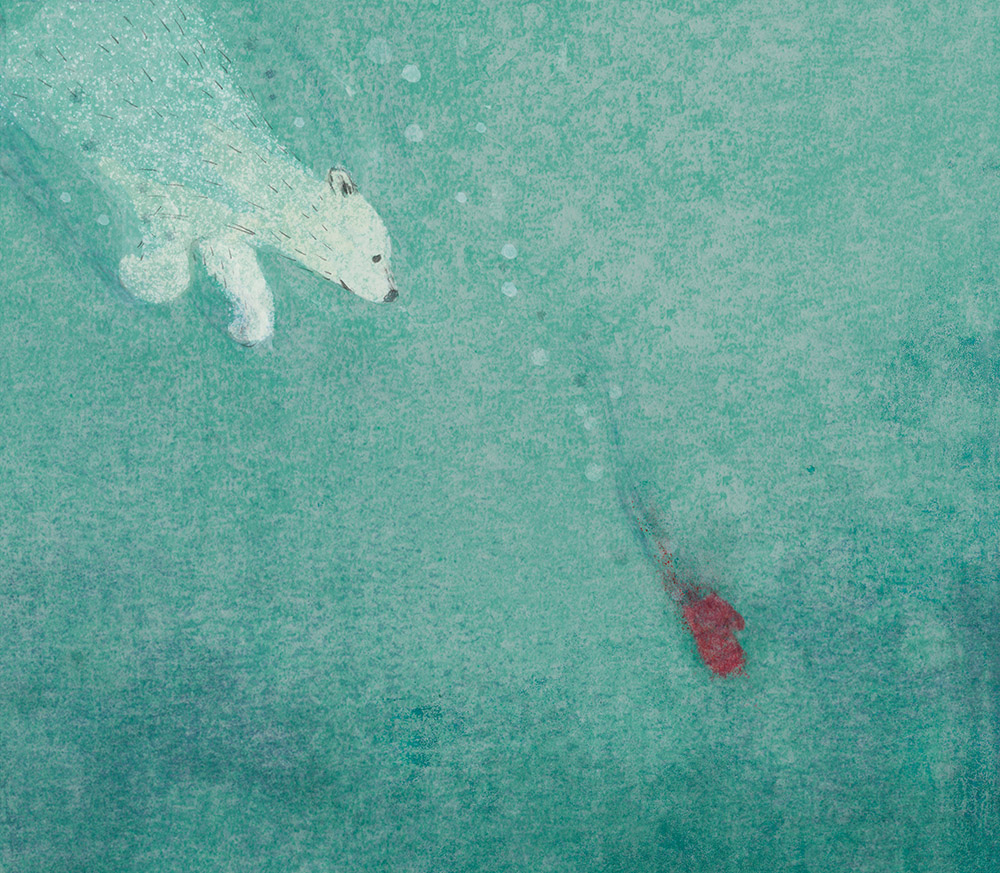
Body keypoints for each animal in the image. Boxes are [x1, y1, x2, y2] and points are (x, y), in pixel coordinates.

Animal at [0, 0, 399, 345]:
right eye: (377, 255)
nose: (393, 294)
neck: (241, 169)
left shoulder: (225, 223)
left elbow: (234, 265)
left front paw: (246, 326)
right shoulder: (173, 177)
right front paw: (139, 271)